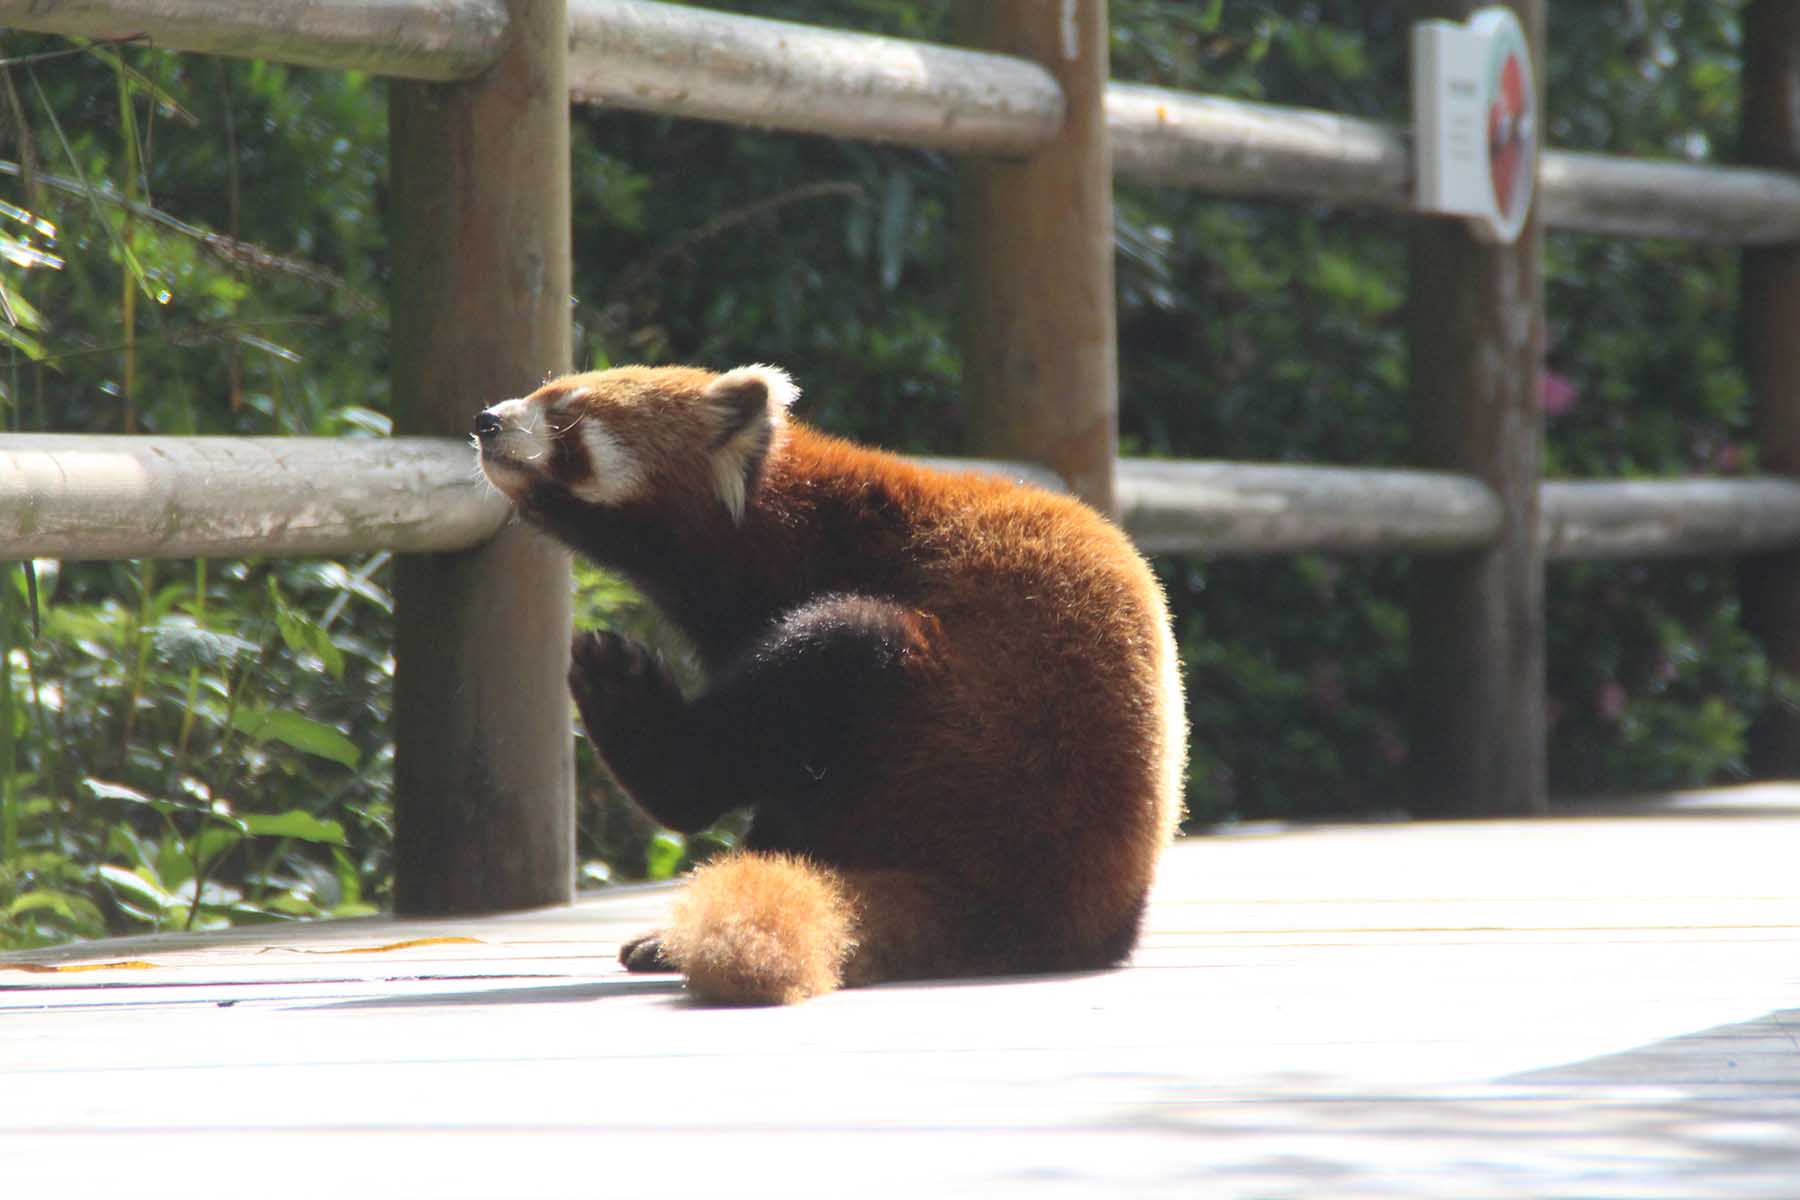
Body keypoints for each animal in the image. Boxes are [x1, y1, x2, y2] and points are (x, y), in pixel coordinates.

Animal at [471, 363, 1188, 1007]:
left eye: (564, 415)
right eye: (542, 391)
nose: (486, 421)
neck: (782, 523)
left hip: (960, 742)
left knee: (842, 642)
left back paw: (635, 720)